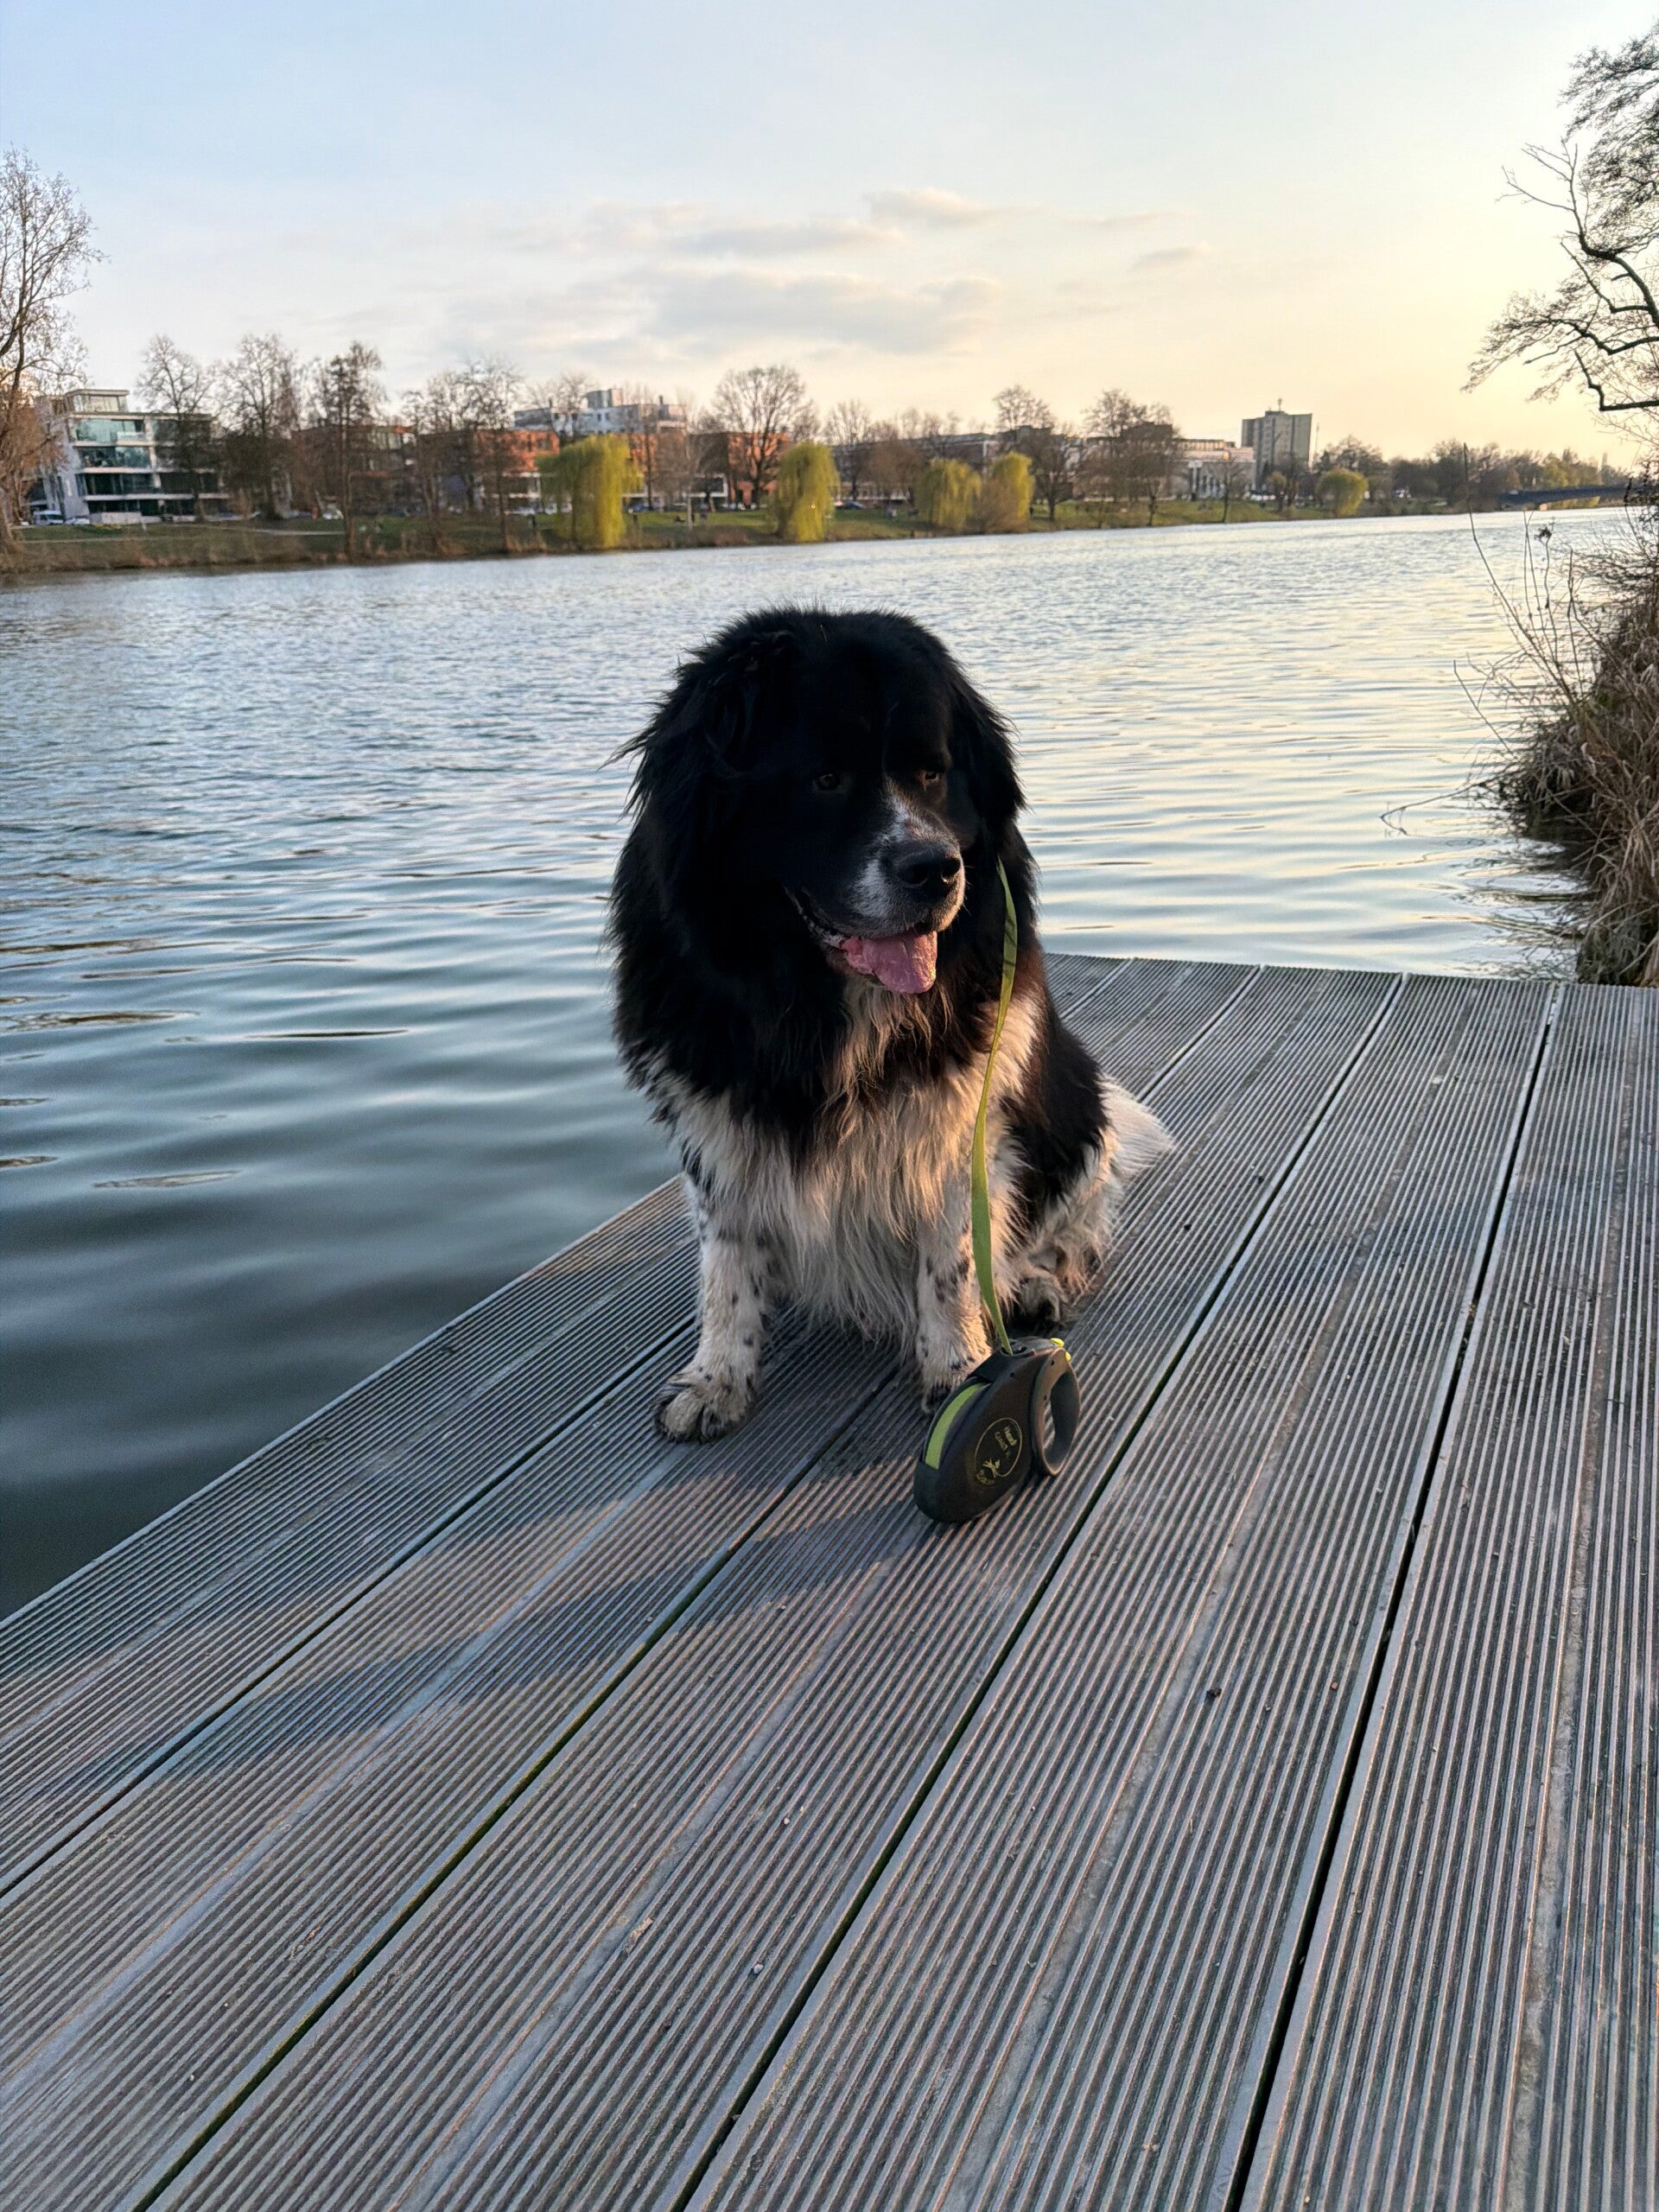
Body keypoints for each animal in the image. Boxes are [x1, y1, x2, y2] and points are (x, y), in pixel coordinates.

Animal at [610, 607, 1170, 1441]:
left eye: (933, 773)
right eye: (825, 779)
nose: (934, 868)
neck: (817, 1000)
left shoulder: (961, 1111)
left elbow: (954, 1259)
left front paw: (962, 1368)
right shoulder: (716, 1112)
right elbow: (726, 1259)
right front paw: (717, 1377)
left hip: (1071, 1100)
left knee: (1073, 1221)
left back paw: (1034, 1284)